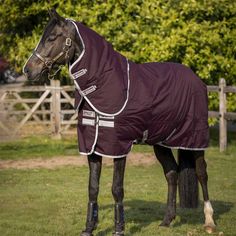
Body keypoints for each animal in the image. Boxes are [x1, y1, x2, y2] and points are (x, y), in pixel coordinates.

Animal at [23, 8, 216, 235]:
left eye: (52, 37)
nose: (28, 70)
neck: (103, 83)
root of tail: (196, 79)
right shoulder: (92, 147)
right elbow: (92, 188)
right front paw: (88, 228)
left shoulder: (118, 147)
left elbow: (116, 188)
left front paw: (118, 229)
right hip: (161, 142)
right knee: (171, 173)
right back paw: (167, 220)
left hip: (195, 140)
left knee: (202, 173)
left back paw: (209, 221)